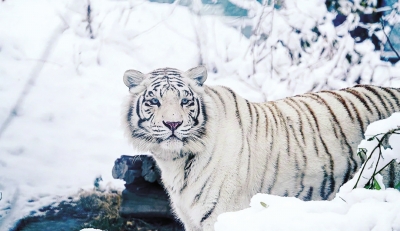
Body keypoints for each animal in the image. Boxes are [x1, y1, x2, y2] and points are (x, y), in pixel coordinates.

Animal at [122, 65, 400, 231]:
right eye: (154, 101)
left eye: (185, 101)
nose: (173, 123)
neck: (175, 161)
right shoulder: (192, 222)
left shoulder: (220, 215)